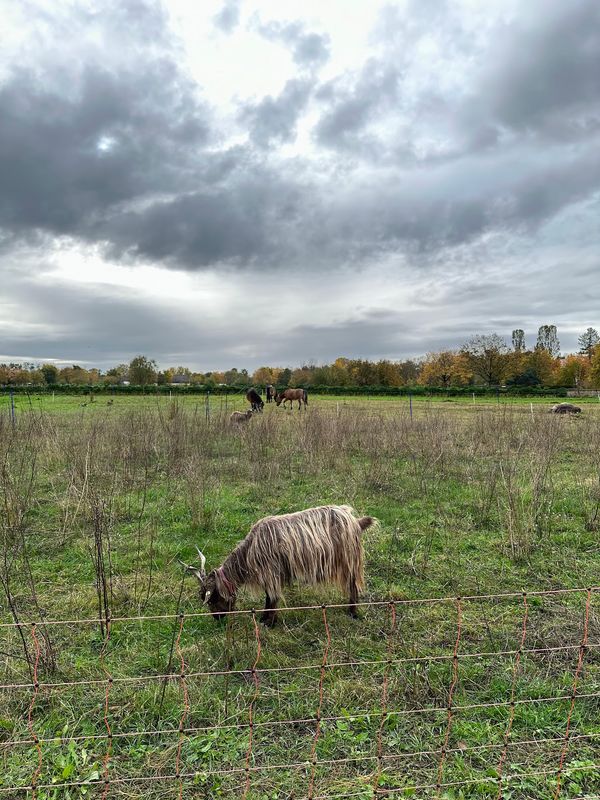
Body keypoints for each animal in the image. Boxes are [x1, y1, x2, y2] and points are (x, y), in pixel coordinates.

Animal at [179, 506, 376, 624]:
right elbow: (269, 597)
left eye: (212, 598)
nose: (217, 618)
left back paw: (353, 613)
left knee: (353, 585)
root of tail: (355, 521)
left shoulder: (271, 573)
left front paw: (269, 622)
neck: (250, 549)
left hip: (349, 560)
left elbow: (272, 598)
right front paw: (264, 618)